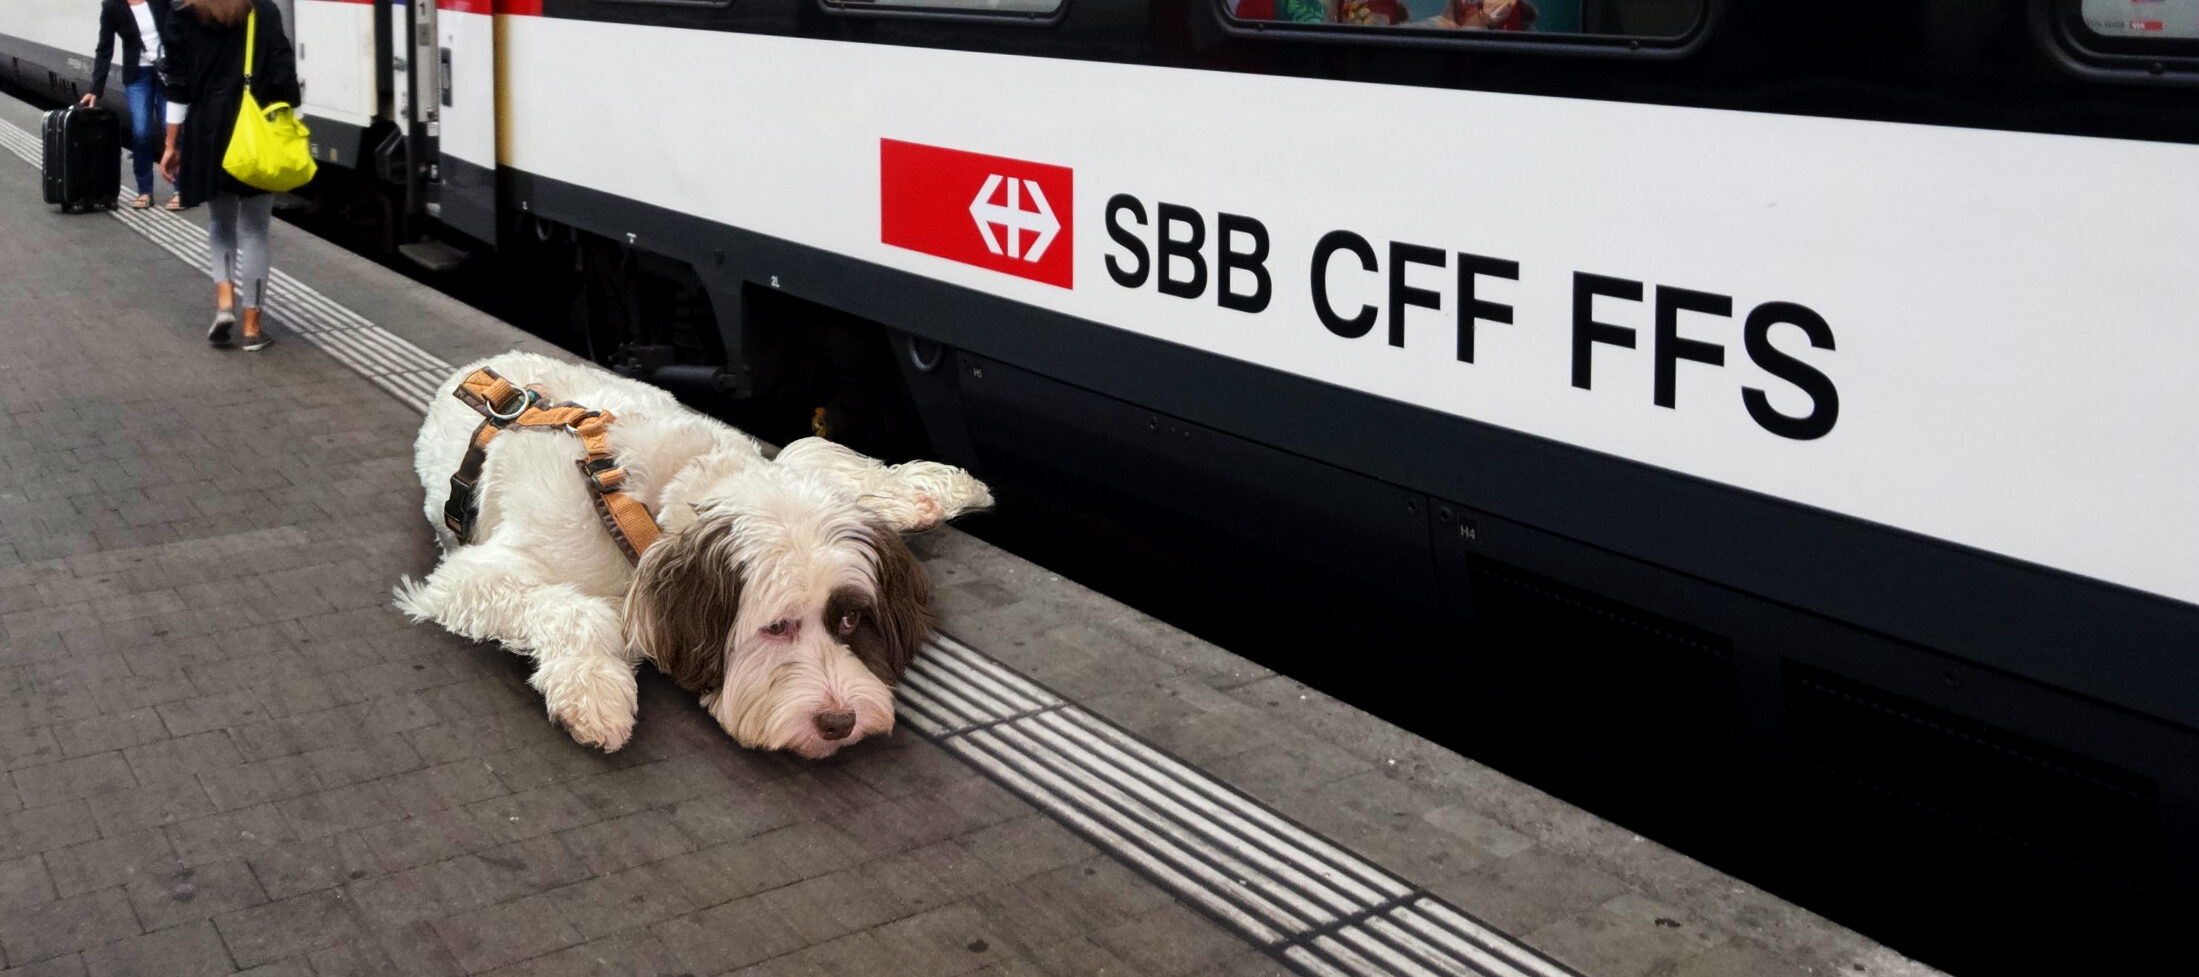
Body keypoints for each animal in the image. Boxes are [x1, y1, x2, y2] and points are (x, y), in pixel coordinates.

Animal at [391, 352, 993, 756]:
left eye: (847, 620)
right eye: (776, 627)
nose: (839, 723)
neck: (636, 502)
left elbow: (815, 453)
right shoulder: (473, 574)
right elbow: (576, 608)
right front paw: (597, 693)